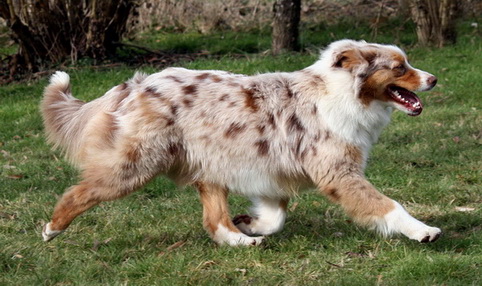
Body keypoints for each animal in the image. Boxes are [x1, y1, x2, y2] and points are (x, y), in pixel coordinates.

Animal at [41, 39, 440, 246]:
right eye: (400, 67)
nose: (434, 79)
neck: (342, 93)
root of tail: (137, 83)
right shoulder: (338, 173)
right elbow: (388, 206)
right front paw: (423, 231)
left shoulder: (273, 171)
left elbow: (276, 217)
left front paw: (252, 224)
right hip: (137, 164)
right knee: (79, 192)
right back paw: (51, 228)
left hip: (209, 162)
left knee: (215, 219)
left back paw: (242, 240)